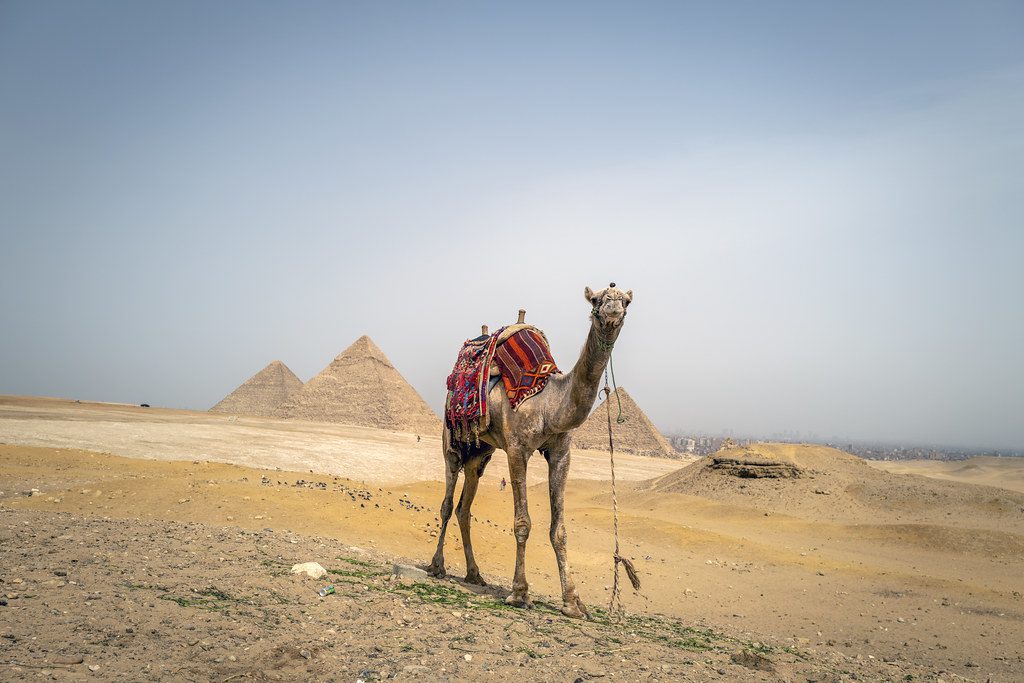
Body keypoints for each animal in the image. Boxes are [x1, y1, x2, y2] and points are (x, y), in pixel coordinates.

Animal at [427, 284, 633, 619]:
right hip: (452, 441)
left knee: (464, 506)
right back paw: (436, 566)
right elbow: (522, 523)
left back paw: (474, 574)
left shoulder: (561, 453)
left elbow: (559, 530)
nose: (613, 307)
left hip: (481, 453)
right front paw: (519, 593)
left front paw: (573, 602)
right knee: (447, 501)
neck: (549, 402)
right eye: (596, 299)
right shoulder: (516, 449)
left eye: (626, 301)